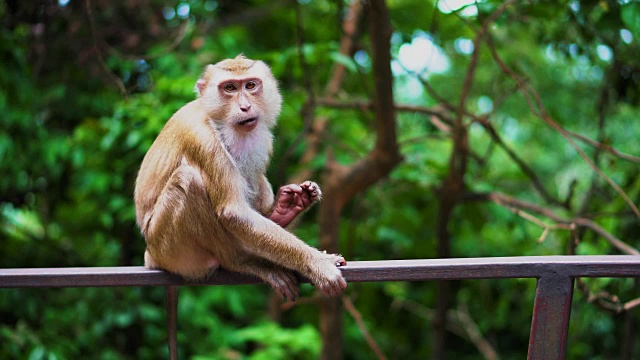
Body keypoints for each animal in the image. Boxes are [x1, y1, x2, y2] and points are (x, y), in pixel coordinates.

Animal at [132, 54, 348, 300]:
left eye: (250, 85)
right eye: (229, 88)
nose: (245, 106)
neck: (219, 120)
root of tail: (151, 256)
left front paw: (287, 207)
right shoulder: (202, 139)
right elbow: (233, 211)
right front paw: (317, 263)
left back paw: (284, 211)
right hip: (170, 251)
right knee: (188, 180)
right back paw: (241, 261)